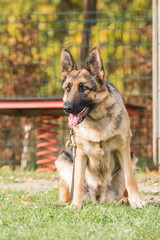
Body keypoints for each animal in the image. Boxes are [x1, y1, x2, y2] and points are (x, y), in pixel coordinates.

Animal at [55, 47, 144, 208]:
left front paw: (137, 201)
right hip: (63, 159)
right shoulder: (80, 153)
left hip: (131, 157)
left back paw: (124, 199)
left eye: (83, 88)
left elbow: (130, 180)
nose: (66, 108)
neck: (97, 120)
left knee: (122, 188)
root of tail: (98, 197)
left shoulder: (123, 148)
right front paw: (75, 205)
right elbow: (78, 182)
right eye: (68, 88)